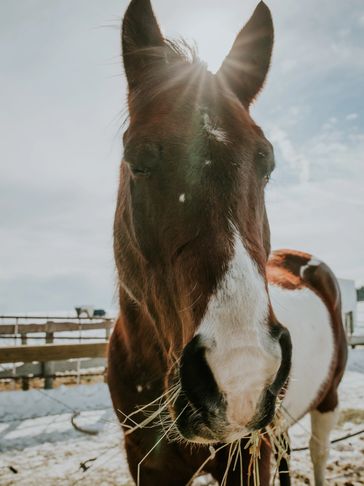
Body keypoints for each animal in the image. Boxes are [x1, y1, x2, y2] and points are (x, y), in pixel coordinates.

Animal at [108, 1, 346, 484]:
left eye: (267, 163)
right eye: (136, 160)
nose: (242, 375)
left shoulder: (249, 457)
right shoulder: (145, 463)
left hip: (327, 400)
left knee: (318, 454)